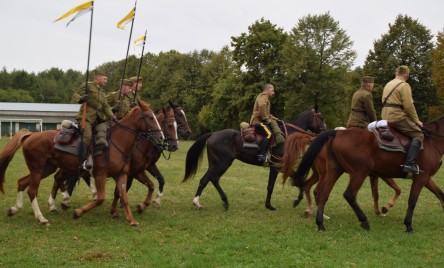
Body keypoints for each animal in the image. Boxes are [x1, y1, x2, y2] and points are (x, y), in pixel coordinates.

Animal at [0, 100, 164, 226]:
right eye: (150, 117)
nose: (161, 138)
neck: (117, 143)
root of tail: (30, 135)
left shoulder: (122, 175)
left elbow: (124, 196)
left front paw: (131, 219)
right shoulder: (100, 174)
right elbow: (101, 198)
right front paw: (78, 212)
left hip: (47, 168)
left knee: (22, 182)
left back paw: (15, 209)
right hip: (38, 169)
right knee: (32, 190)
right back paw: (41, 217)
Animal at [181, 108, 326, 210]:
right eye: (321, 118)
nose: (325, 131)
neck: (288, 136)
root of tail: (213, 134)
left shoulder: (280, 166)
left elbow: (297, 178)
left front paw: (296, 200)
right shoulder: (277, 166)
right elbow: (273, 185)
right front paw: (270, 205)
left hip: (214, 163)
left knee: (205, 179)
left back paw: (197, 202)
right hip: (224, 163)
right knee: (214, 178)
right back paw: (225, 201)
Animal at [284, 118, 444, 232]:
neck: (432, 141)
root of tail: (337, 132)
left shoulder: (425, 178)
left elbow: (440, 195)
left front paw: (382, 210)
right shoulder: (419, 177)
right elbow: (411, 199)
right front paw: (407, 224)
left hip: (334, 171)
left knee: (321, 193)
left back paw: (320, 222)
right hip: (358, 173)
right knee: (348, 194)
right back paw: (363, 221)